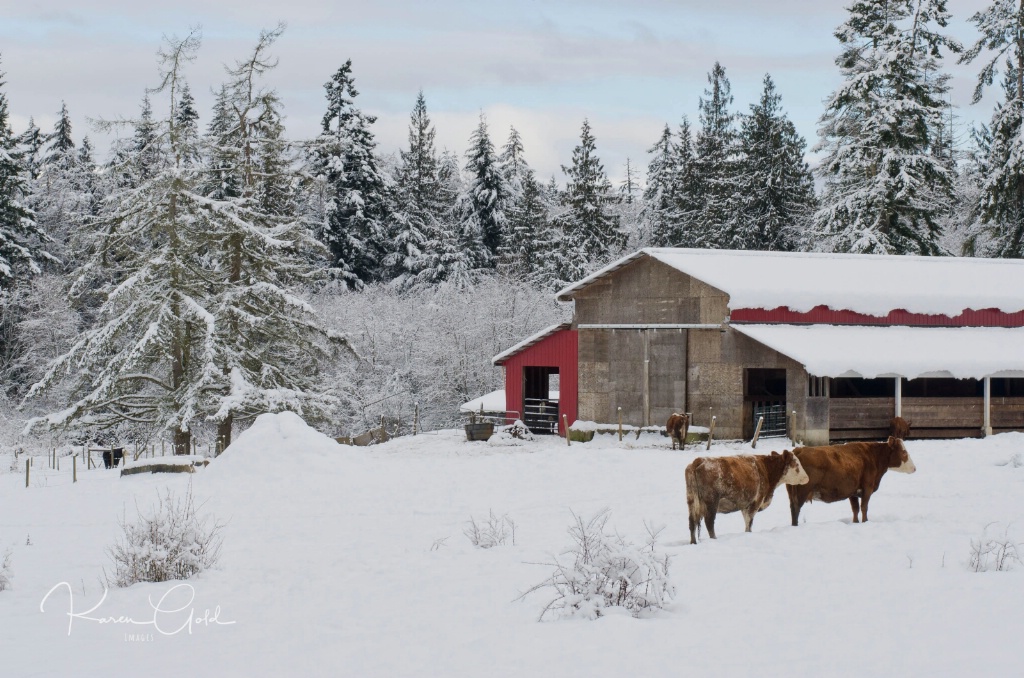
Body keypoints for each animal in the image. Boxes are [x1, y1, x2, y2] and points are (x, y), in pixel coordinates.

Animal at [786, 438, 917, 528]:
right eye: (904, 452)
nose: (914, 468)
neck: (873, 456)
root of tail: (799, 449)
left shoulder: (853, 492)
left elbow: (855, 509)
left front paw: (856, 522)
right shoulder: (867, 488)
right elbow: (864, 507)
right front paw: (865, 522)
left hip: (792, 494)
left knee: (792, 509)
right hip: (802, 492)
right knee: (796, 509)